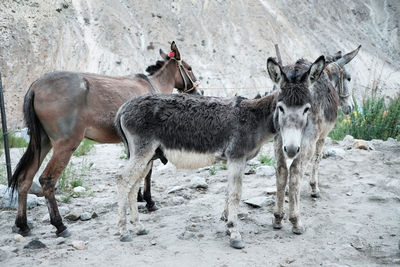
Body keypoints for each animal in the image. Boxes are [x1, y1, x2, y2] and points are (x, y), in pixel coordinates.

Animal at [10, 40, 200, 238]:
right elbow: (147, 173)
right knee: (47, 180)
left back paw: (23, 225)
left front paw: (138, 198)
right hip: (65, 145)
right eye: (189, 68)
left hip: (42, 142)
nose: (197, 92)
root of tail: (36, 85)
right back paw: (59, 225)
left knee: (25, 178)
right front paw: (148, 201)